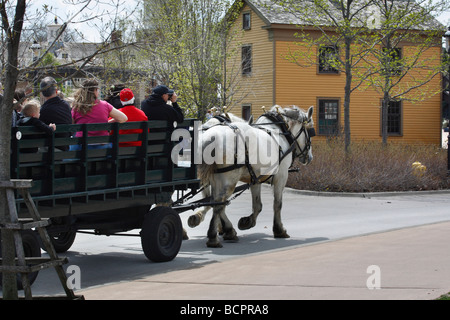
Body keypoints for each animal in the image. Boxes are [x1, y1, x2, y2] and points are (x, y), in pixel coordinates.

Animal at [189, 105, 312, 248]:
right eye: (309, 130)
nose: (309, 157)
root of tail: (210, 136)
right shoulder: (281, 175)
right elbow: (277, 204)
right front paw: (279, 230)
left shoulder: (255, 178)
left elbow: (257, 205)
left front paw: (247, 222)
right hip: (228, 179)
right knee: (219, 203)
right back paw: (214, 237)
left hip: (217, 178)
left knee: (216, 202)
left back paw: (225, 231)